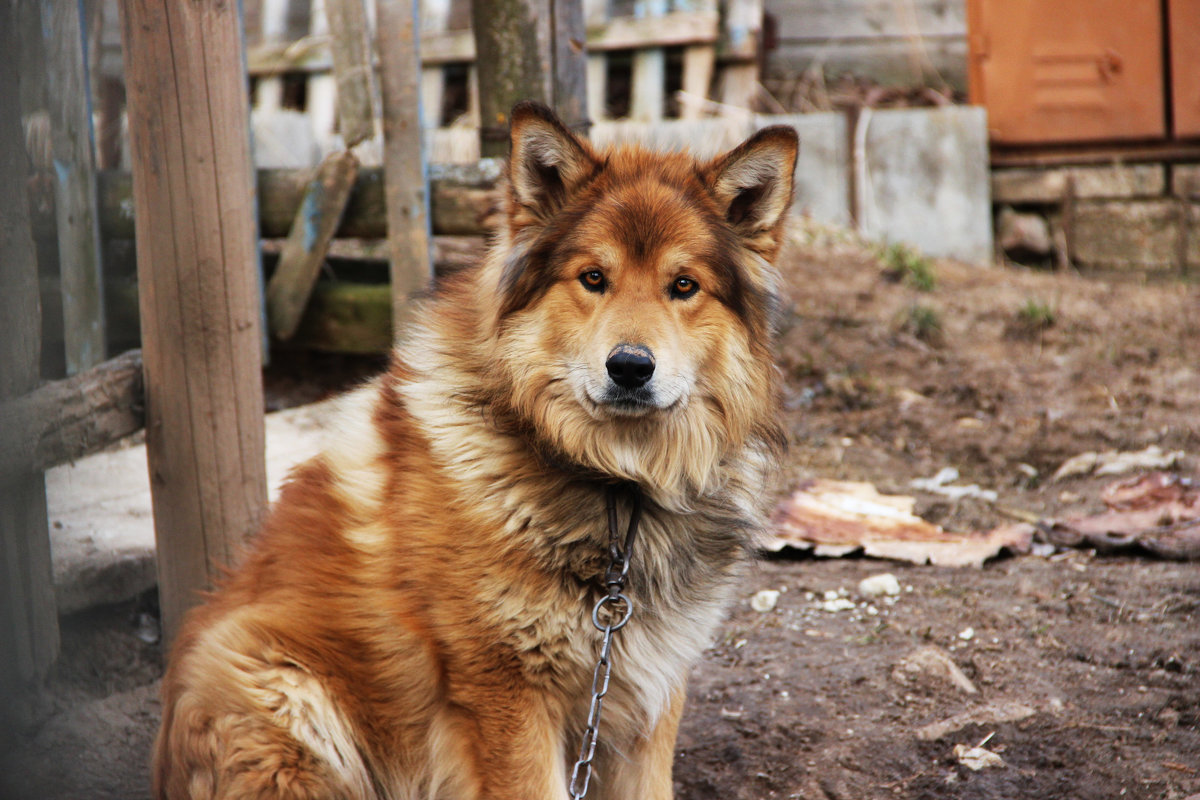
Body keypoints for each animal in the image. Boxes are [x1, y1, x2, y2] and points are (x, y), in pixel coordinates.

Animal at [157, 103, 796, 796]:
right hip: (285, 692)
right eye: (593, 278)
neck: (615, 488)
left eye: (683, 286)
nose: (630, 367)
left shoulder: (649, 691)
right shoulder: (505, 694)